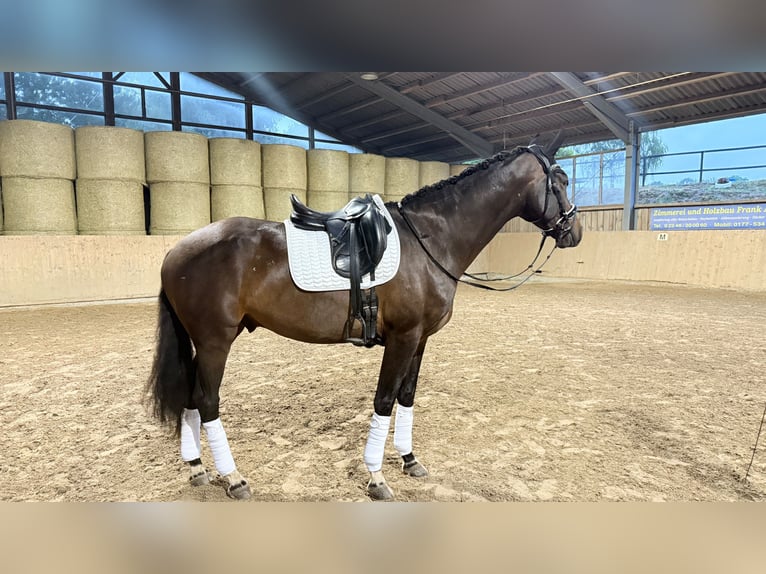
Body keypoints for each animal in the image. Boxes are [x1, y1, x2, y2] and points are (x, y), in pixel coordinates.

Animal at [146, 144, 582, 500]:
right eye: (560, 180)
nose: (574, 232)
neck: (430, 238)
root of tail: (175, 250)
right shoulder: (403, 338)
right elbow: (384, 400)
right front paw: (376, 477)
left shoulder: (420, 340)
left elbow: (407, 397)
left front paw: (409, 460)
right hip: (215, 342)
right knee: (207, 402)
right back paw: (234, 478)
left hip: (204, 343)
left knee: (190, 399)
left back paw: (198, 469)